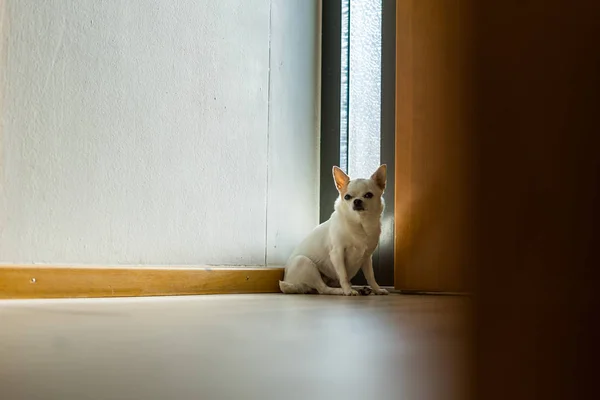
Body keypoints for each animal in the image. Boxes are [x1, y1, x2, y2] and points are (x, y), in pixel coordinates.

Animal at [278, 164, 390, 296]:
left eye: (368, 195)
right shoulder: (337, 253)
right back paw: (341, 291)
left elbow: (371, 276)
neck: (359, 223)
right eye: (347, 197)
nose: (357, 201)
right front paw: (348, 291)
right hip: (303, 262)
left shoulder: (367, 257)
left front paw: (377, 289)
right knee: (323, 289)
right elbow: (344, 275)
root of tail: (290, 282)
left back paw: (362, 289)